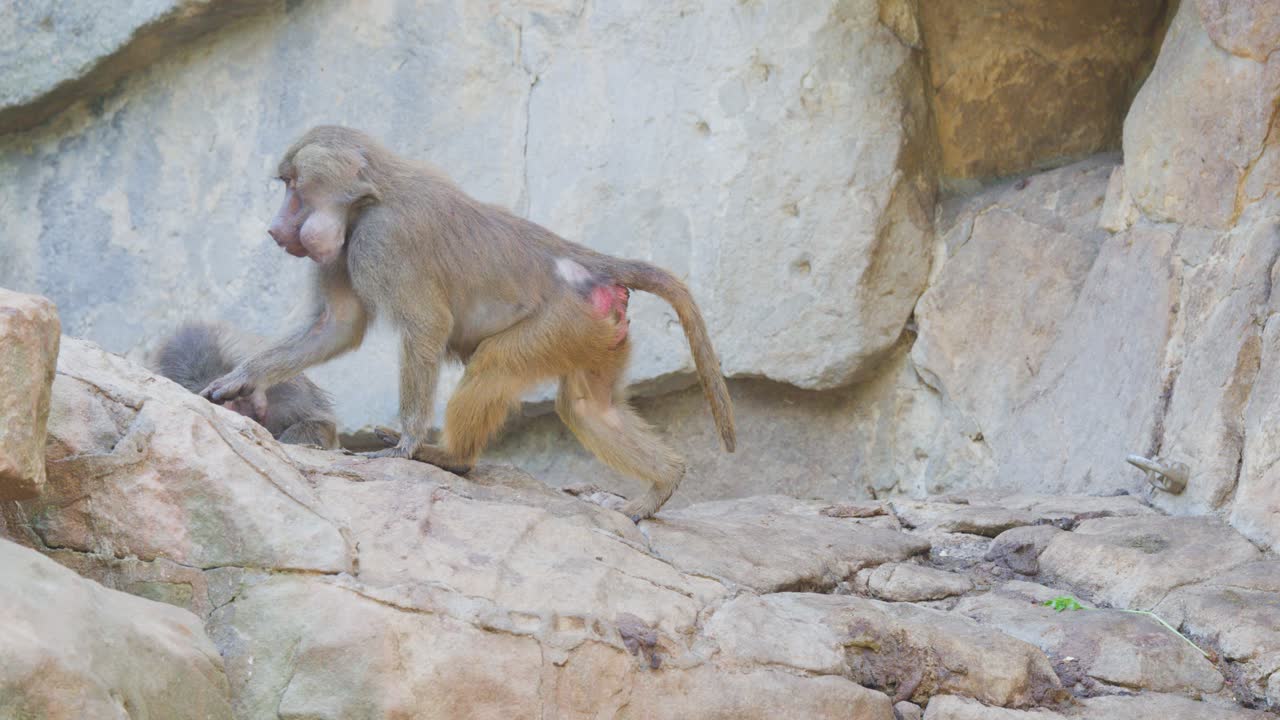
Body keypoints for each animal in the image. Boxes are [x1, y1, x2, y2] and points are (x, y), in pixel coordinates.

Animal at [200, 125, 736, 520]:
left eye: (293, 187)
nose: (274, 229)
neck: (373, 193)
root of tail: (583, 263)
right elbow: (336, 325)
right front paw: (239, 381)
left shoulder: (380, 240)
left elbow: (425, 325)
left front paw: (406, 445)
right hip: (596, 330)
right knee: (588, 408)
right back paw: (663, 484)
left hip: (562, 322)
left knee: (495, 366)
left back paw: (450, 457)